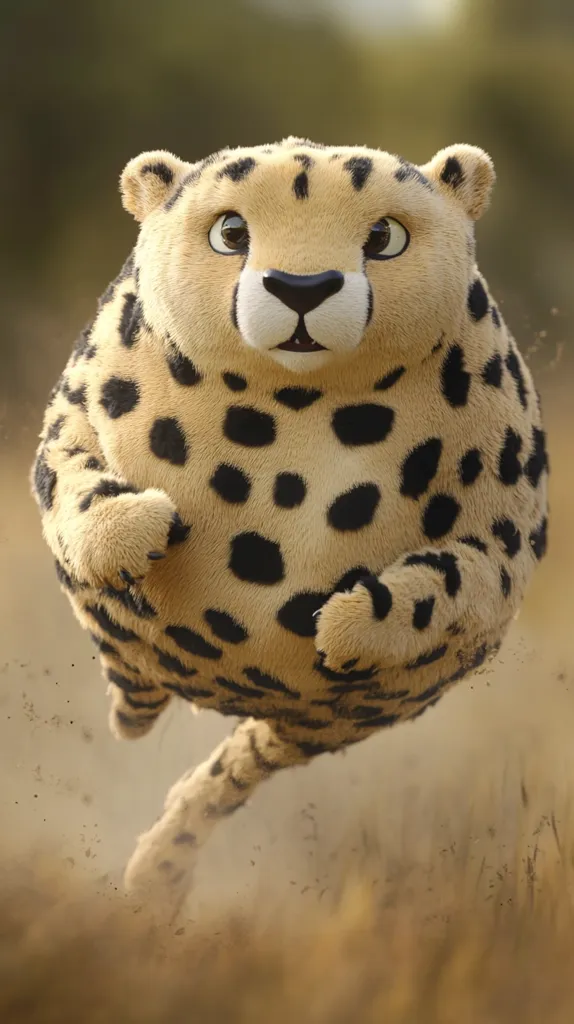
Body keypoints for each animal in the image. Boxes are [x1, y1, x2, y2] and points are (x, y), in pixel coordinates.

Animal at [30, 135, 549, 921]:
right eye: (230, 233)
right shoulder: (71, 421)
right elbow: (72, 479)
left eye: (385, 238)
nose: (302, 287)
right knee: (135, 675)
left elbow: (453, 583)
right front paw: (135, 529)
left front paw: (351, 624)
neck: (298, 404)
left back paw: (157, 871)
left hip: (326, 722)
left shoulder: (505, 544)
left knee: (231, 771)